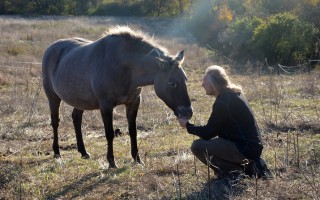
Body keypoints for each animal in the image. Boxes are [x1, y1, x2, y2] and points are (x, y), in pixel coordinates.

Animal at [42, 25, 192, 168]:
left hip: (80, 101)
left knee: (76, 119)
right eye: (172, 84)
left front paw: (137, 159)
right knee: (55, 122)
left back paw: (83, 152)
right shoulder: (106, 106)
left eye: (185, 79)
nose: (188, 112)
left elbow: (133, 131)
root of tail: (50, 48)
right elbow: (109, 134)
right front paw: (111, 162)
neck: (124, 67)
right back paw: (57, 152)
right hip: (53, 97)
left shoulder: (133, 102)